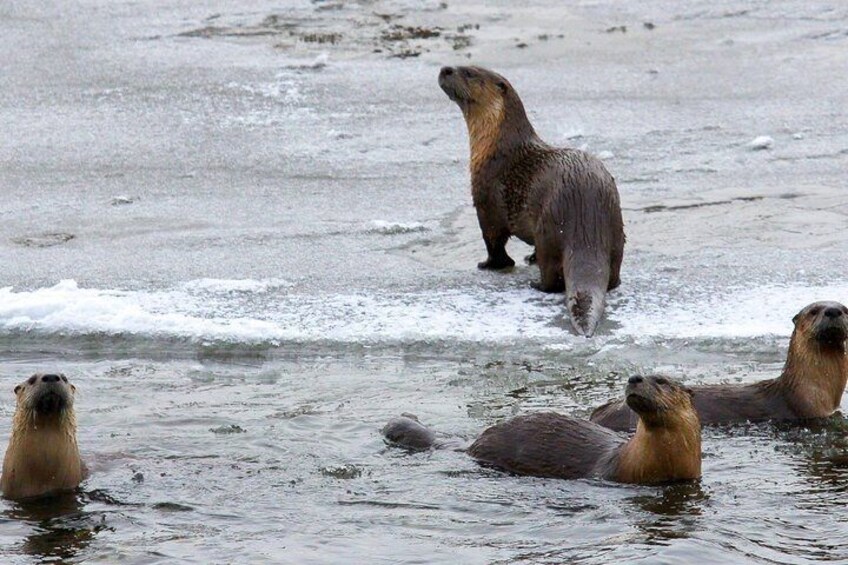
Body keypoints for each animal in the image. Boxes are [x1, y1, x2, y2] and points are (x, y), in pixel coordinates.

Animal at [440, 68, 628, 338]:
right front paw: (528, 257)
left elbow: (494, 241)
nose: (445, 69)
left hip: (548, 228)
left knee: (551, 276)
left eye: (469, 72)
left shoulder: (486, 199)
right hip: (616, 229)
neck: (494, 147)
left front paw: (489, 265)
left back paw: (536, 283)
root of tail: (586, 226)